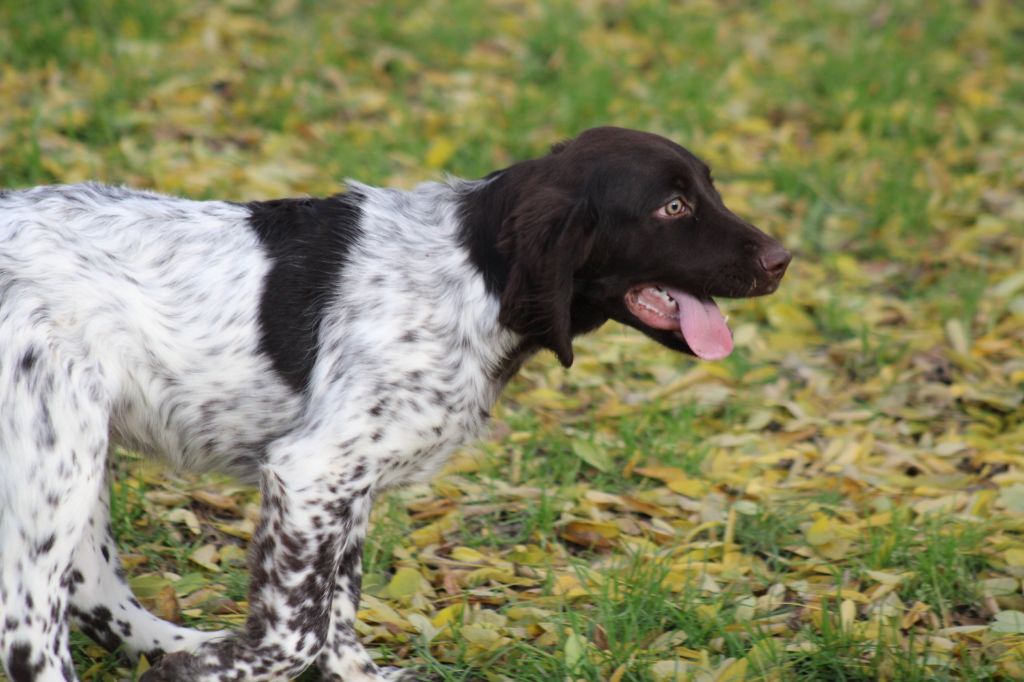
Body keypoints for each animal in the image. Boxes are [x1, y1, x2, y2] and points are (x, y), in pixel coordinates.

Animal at [0, 129, 790, 679]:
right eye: (672, 206)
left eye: (708, 191)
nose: (783, 259)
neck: (473, 272)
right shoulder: (312, 472)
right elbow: (295, 630)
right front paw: (212, 668)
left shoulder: (347, 486)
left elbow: (335, 612)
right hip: (56, 450)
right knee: (31, 628)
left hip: (75, 448)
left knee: (92, 589)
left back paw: (173, 643)